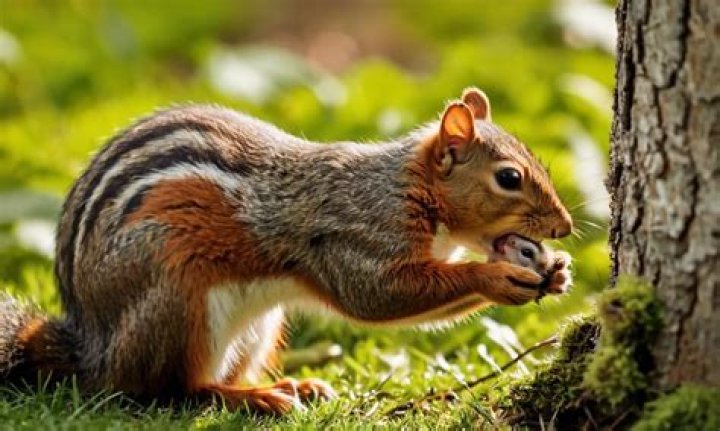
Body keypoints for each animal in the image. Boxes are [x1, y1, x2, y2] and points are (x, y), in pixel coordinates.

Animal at [0, 88, 572, 414]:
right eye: (509, 178)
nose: (564, 228)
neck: (407, 188)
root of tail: (90, 346)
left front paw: (559, 274)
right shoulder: (353, 235)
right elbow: (376, 297)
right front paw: (495, 278)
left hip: (255, 328)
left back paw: (293, 387)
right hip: (175, 301)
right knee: (161, 389)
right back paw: (249, 398)